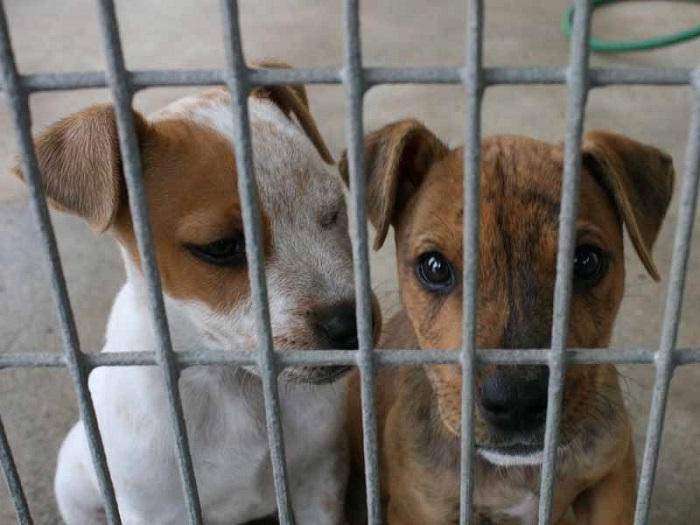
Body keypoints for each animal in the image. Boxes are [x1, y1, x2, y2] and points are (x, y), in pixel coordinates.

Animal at [17, 65, 378, 524]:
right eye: (221, 247)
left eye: (332, 213)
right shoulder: (152, 512)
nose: (353, 325)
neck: (233, 386)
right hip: (73, 477)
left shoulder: (320, 478)